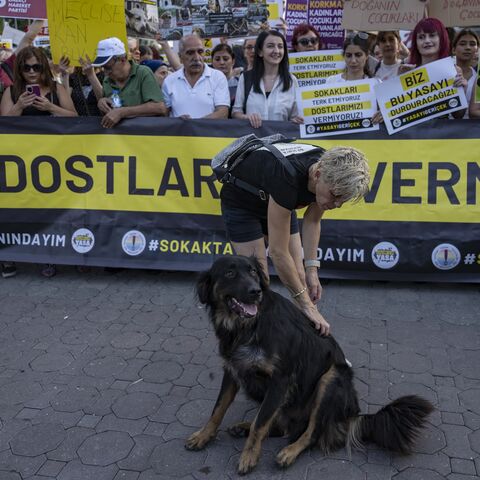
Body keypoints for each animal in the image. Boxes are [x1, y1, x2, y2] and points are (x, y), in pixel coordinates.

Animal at [188, 256, 436, 474]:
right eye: (230, 273)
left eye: (253, 272)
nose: (255, 292)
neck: (247, 326)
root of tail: (351, 416)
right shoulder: (232, 370)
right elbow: (219, 409)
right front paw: (203, 436)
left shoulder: (281, 379)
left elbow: (261, 423)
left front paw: (248, 457)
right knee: (279, 425)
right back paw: (242, 427)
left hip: (330, 379)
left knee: (310, 431)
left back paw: (289, 452)